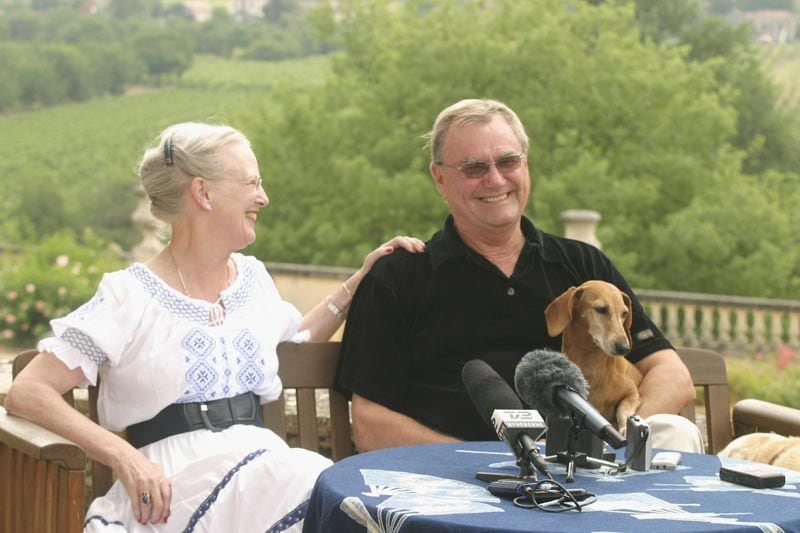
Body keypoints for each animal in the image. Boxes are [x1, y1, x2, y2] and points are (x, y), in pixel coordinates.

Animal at [544, 278, 644, 432]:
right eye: (601, 309)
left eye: (624, 313)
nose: (624, 348)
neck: (592, 363)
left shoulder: (633, 394)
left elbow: (623, 410)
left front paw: (624, 429)